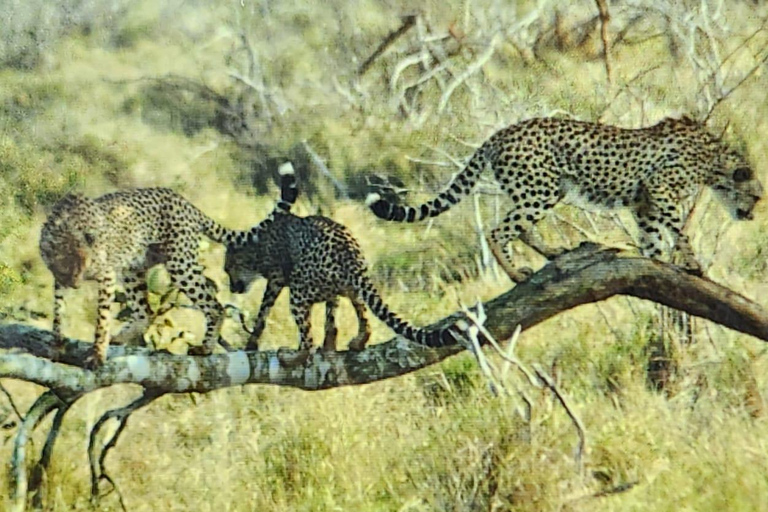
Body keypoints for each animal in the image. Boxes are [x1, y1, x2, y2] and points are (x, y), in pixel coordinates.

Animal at [39, 162, 298, 366]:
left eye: (88, 262)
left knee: (215, 306)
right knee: (146, 311)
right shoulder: (59, 278)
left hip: (180, 264)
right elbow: (58, 311)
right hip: (135, 269)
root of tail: (184, 201)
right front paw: (57, 342)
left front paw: (97, 355)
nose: (76, 284)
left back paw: (205, 348)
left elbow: (101, 319)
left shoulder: (107, 275)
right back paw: (122, 336)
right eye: (69, 266)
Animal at [225, 192, 460, 356]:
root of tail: (351, 256)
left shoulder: (276, 278)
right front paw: (329, 344)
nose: (231, 287)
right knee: (362, 316)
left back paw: (294, 356)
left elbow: (263, 312)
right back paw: (355, 342)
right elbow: (331, 319)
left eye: (228, 269)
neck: (257, 246)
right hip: (352, 288)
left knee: (308, 341)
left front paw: (251, 344)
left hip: (300, 292)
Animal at [368, 116, 760, 282]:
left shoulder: (644, 201)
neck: (715, 162)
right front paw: (692, 264)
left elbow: (652, 237)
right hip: (539, 190)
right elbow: (680, 231)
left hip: (546, 189)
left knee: (520, 228)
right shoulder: (660, 190)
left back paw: (553, 253)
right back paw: (516, 274)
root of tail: (502, 132)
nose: (753, 216)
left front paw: (656, 261)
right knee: (499, 231)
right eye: (756, 195)